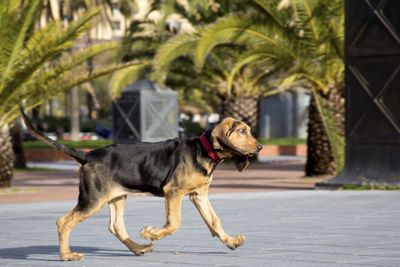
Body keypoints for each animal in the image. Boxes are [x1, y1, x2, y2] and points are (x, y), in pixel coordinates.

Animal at [20, 107, 260, 262]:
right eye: (242, 131)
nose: (259, 147)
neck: (204, 150)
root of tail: (87, 155)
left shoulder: (198, 195)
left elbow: (214, 221)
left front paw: (230, 241)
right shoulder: (173, 191)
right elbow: (174, 223)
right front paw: (152, 233)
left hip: (117, 196)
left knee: (116, 226)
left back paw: (138, 248)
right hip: (94, 199)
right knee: (64, 222)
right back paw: (67, 255)